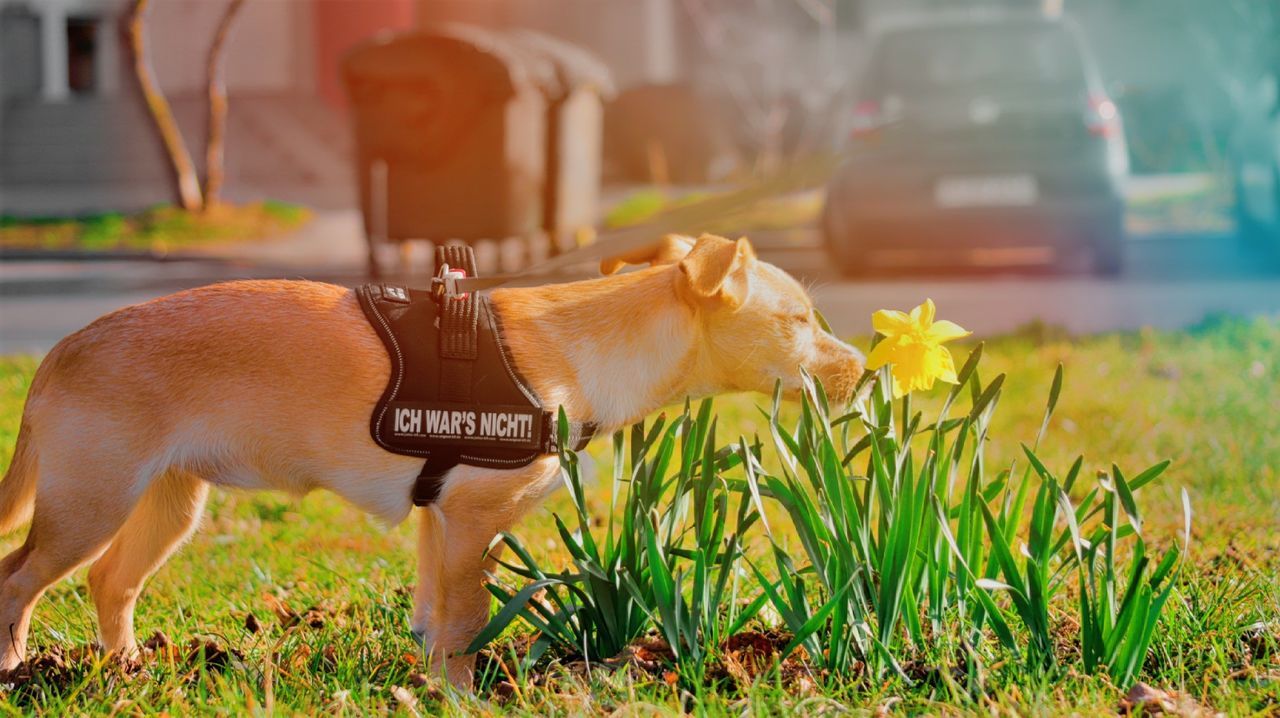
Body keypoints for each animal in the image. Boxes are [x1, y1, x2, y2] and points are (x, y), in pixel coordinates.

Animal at [0, 232, 865, 686]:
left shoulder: (437, 523)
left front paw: (429, 686)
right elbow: (467, 622)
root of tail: (61, 349)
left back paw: (126, 669)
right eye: (799, 321)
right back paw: (15, 667)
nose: (862, 367)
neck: (581, 347)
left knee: (110, 582)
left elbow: (432, 616)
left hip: (169, 504)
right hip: (91, 506)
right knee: (18, 577)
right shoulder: (472, 525)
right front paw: (461, 693)